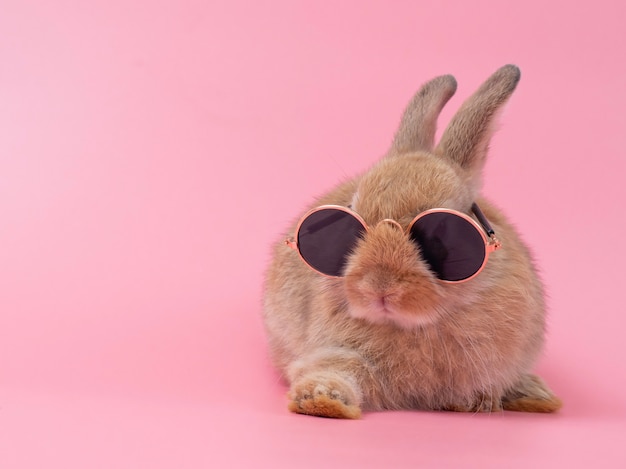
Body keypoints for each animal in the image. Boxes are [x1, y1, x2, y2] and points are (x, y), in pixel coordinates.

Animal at [260, 63, 560, 416]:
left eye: (443, 234)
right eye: (349, 228)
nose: (378, 286)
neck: (413, 324)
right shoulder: (337, 352)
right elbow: (342, 368)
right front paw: (321, 400)